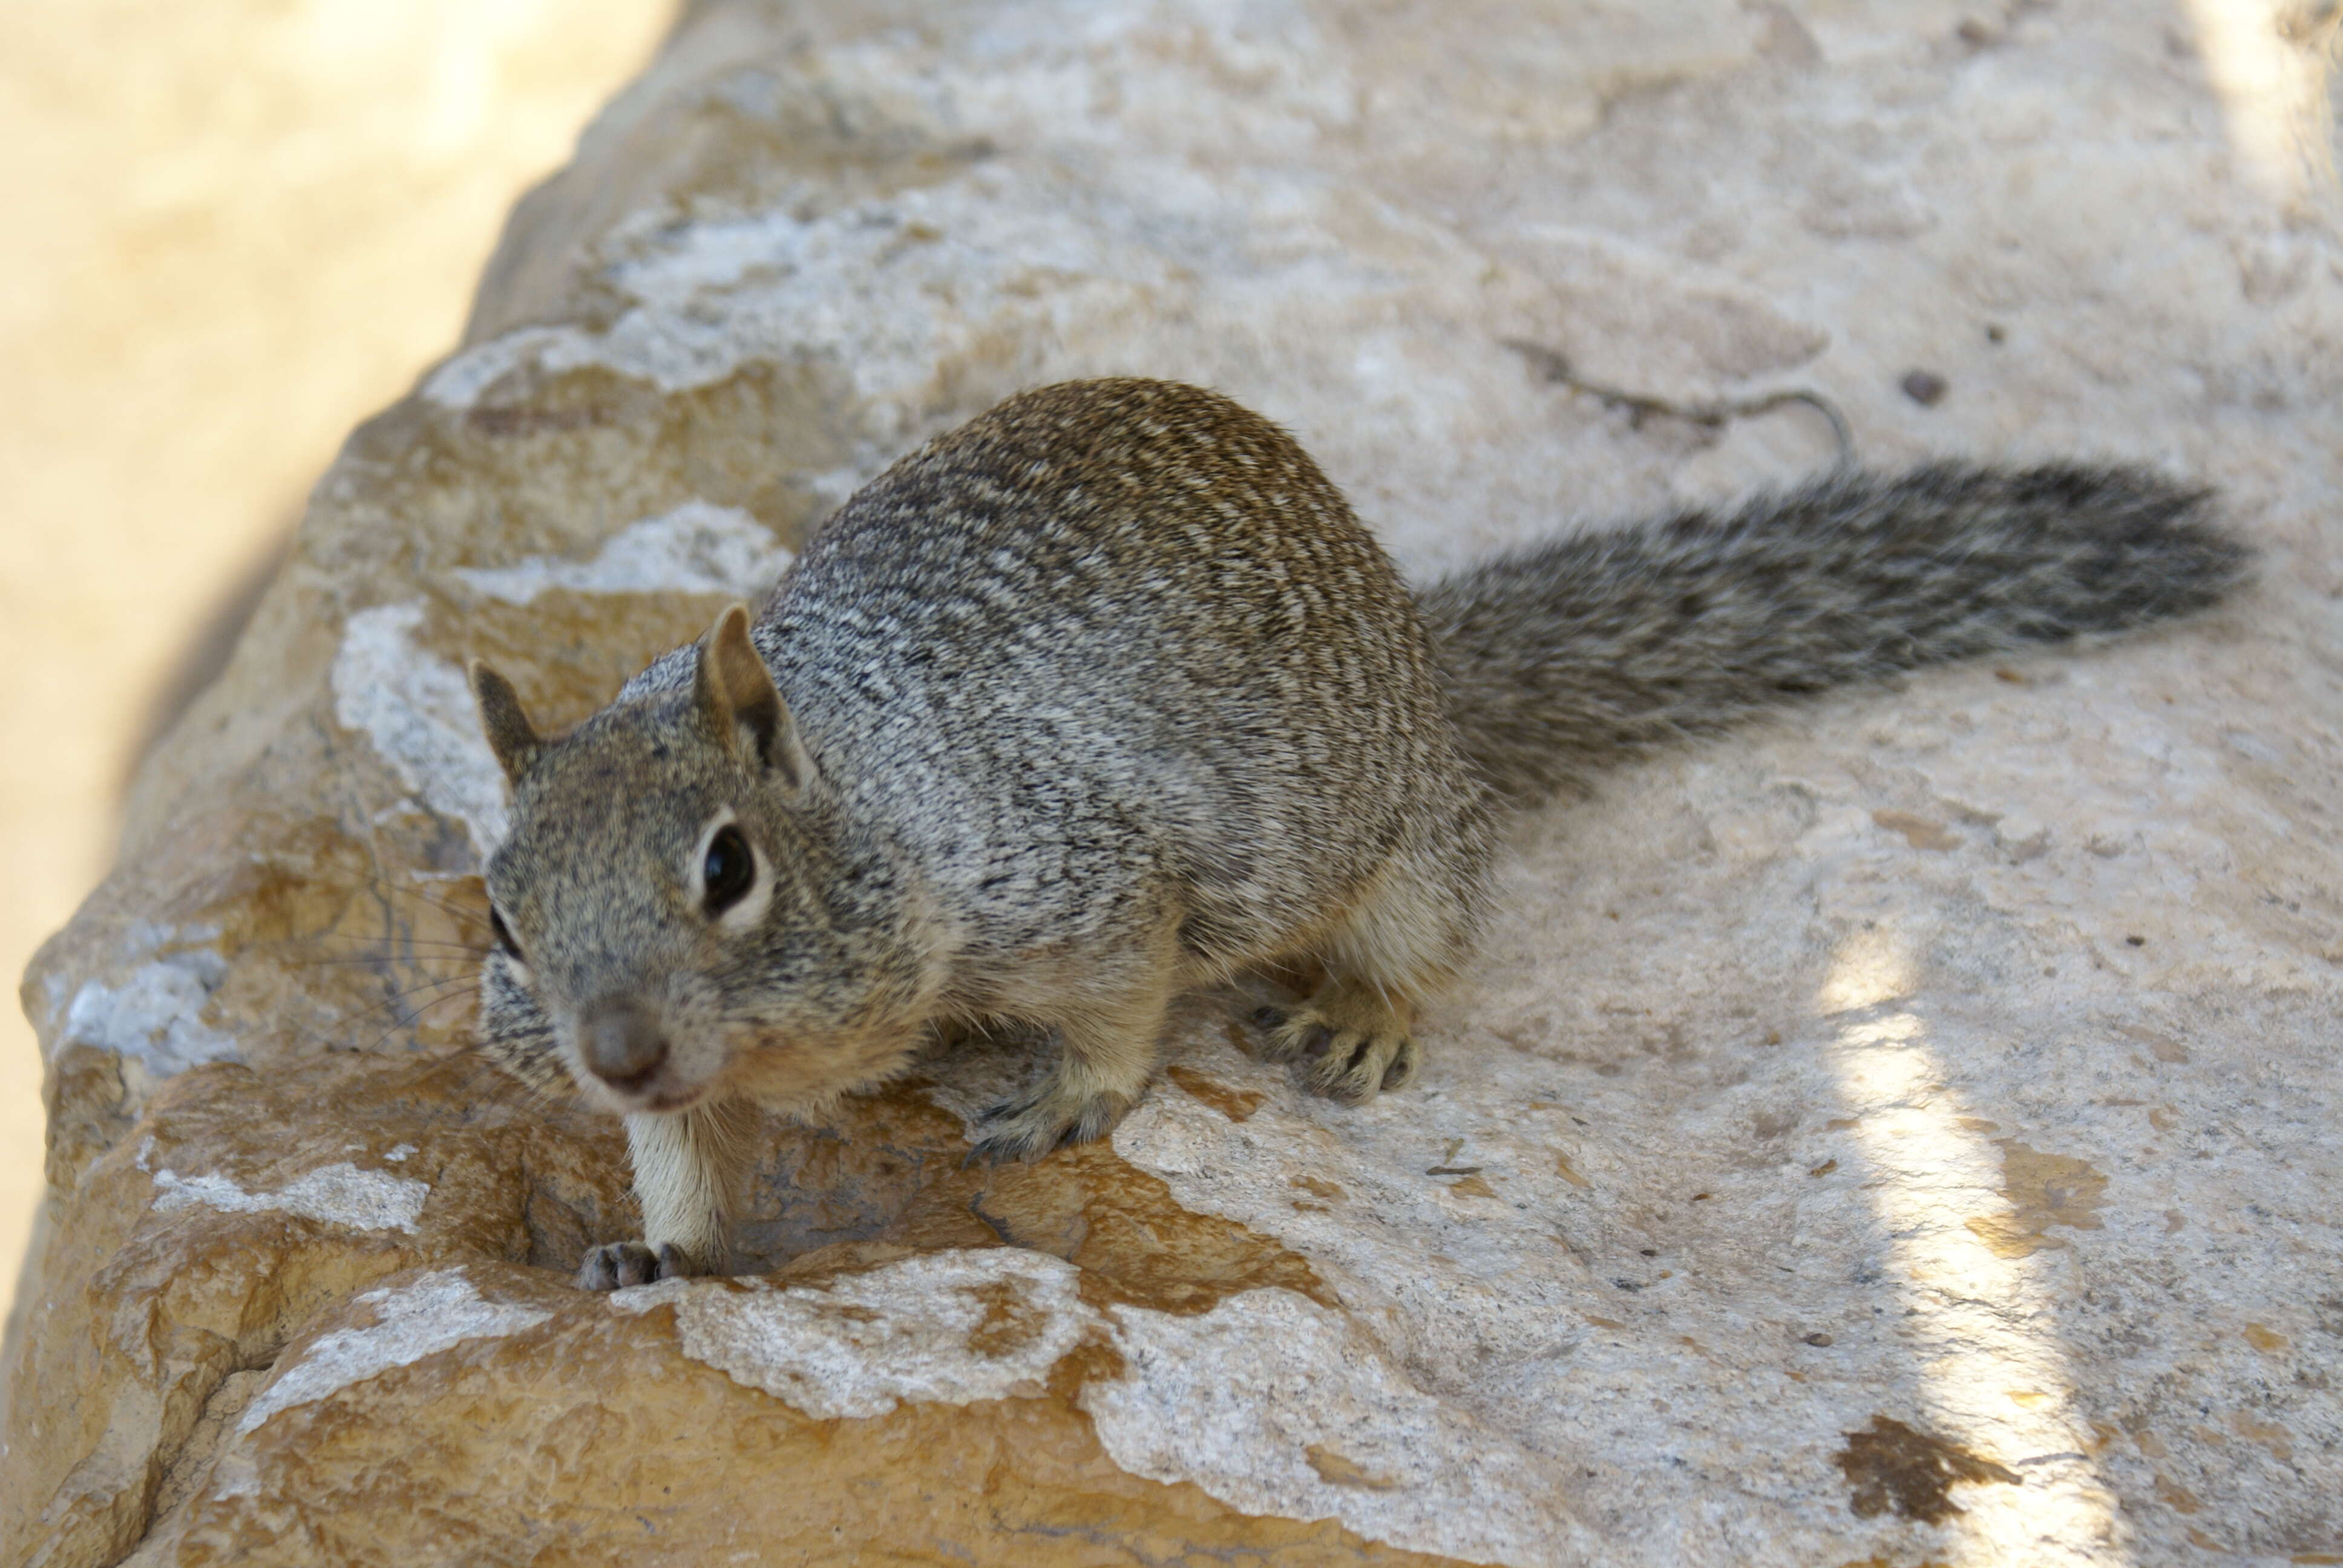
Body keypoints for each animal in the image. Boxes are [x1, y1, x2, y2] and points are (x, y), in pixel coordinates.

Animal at [461, 374, 2249, 1284]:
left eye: (728, 868)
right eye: (501, 920)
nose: (616, 1047)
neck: (873, 796)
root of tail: (1427, 659)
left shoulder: (1087, 881)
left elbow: (1121, 1008)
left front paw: (1061, 1100)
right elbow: (682, 1160)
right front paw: (659, 1251)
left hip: (1396, 850)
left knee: (1424, 933)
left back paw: (1362, 1015)